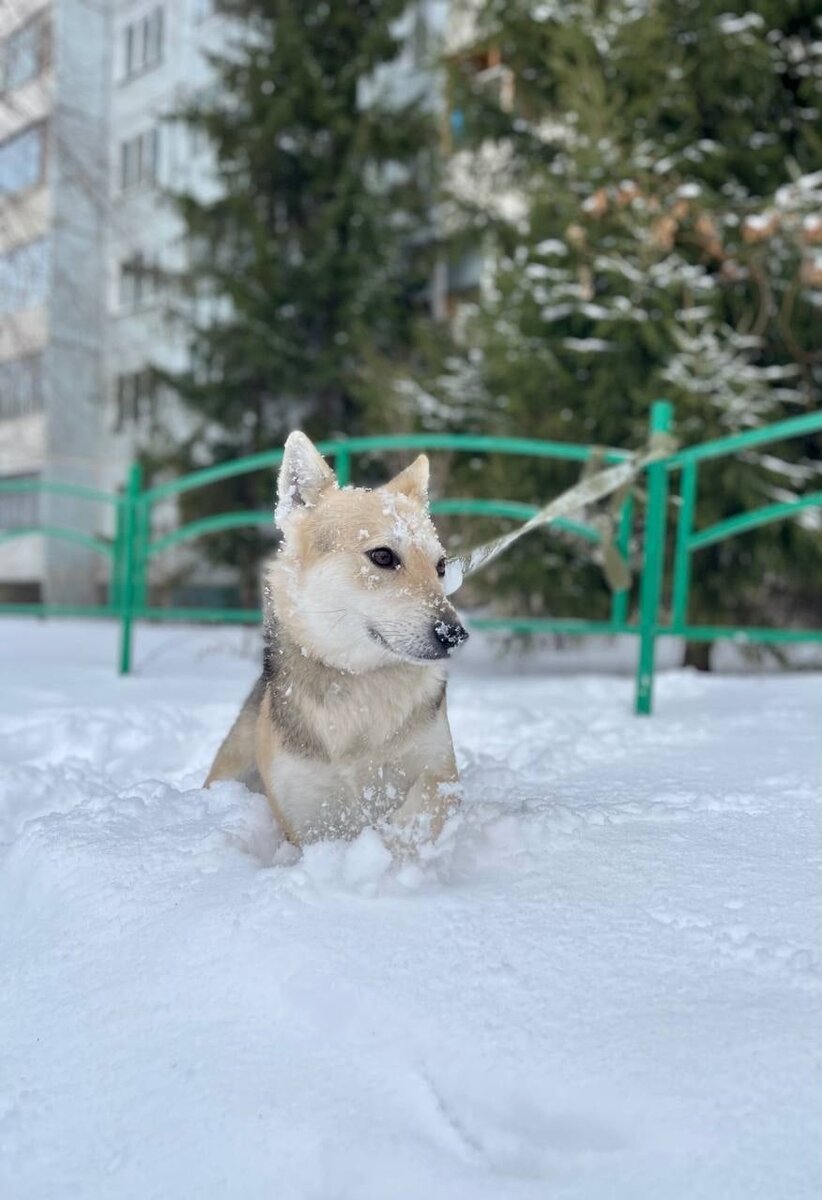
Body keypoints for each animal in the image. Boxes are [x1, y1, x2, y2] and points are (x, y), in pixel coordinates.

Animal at [205, 429, 468, 844]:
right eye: (382, 556)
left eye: (440, 566)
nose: (454, 633)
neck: (359, 683)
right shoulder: (308, 816)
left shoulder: (439, 772)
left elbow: (418, 812)